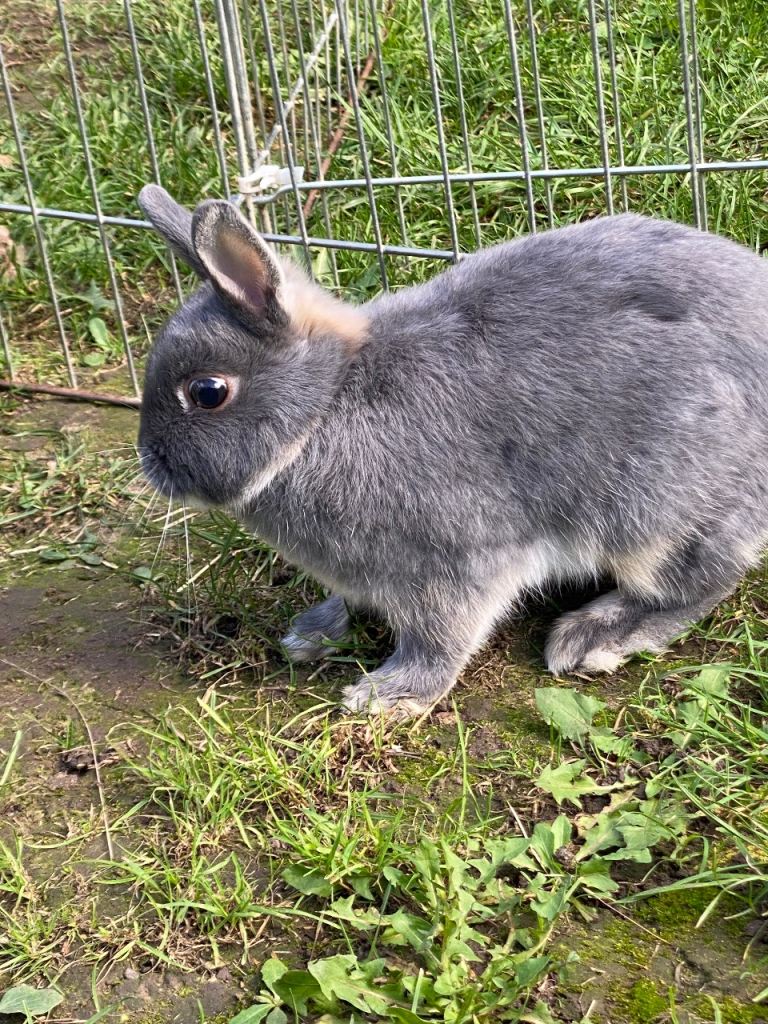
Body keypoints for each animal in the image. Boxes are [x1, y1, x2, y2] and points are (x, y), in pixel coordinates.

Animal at [137, 184, 768, 716]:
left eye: (208, 391)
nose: (152, 464)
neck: (327, 404)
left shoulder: (453, 562)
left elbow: (440, 638)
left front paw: (390, 696)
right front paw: (312, 632)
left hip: (659, 513)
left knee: (696, 585)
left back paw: (594, 636)